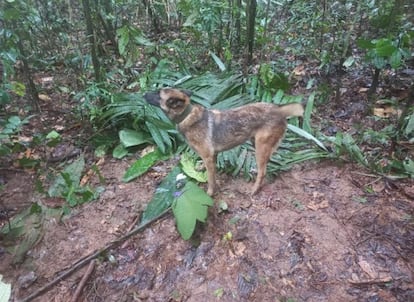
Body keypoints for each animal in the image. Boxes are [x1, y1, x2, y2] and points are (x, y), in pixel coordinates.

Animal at [145, 87, 304, 196]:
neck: (187, 115)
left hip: (260, 147)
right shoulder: (212, 155)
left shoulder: (208, 156)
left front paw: (210, 193)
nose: (143, 94)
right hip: (256, 143)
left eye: (158, 93)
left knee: (263, 171)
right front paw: (200, 167)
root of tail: (279, 110)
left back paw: (254, 189)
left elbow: (211, 179)